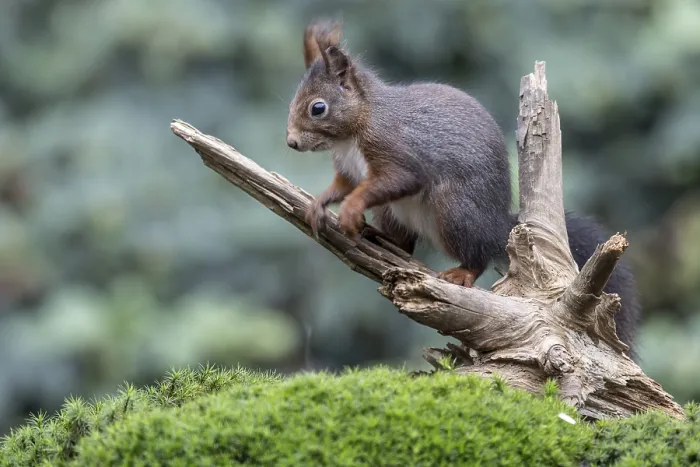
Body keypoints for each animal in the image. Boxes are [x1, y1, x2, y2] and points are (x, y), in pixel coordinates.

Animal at [285, 19, 641, 358]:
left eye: (318, 108)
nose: (291, 142)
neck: (355, 129)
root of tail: (497, 225)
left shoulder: (397, 151)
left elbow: (396, 180)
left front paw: (349, 210)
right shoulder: (348, 170)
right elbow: (343, 186)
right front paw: (319, 205)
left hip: (455, 210)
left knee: (477, 254)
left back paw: (462, 273)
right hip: (394, 212)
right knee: (405, 243)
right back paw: (379, 236)